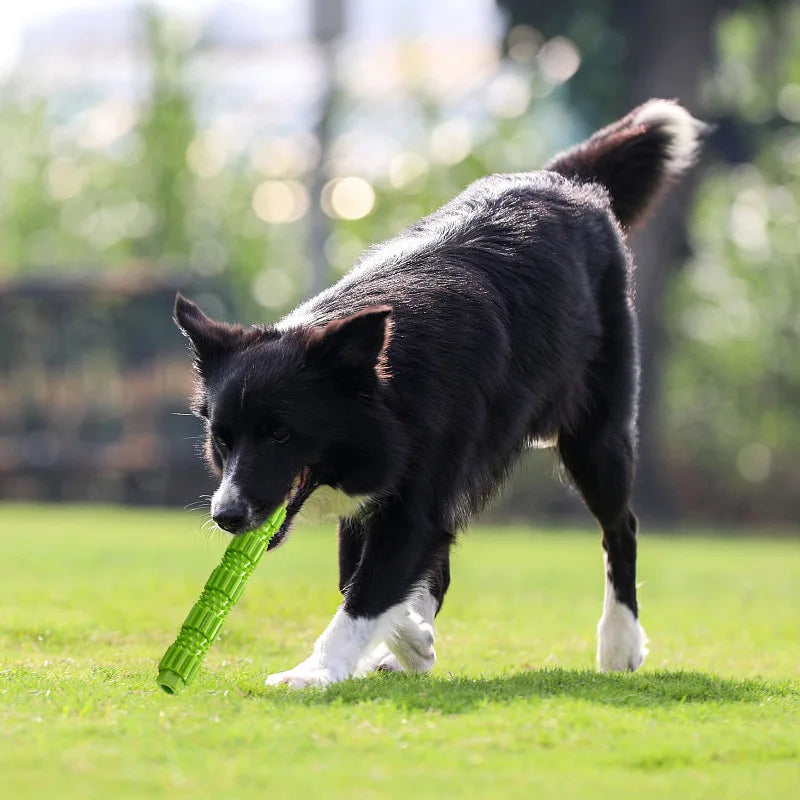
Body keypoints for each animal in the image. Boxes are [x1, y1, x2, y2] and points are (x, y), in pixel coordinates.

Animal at [175, 100, 700, 688]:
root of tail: (566, 181)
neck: (387, 381)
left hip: (597, 433)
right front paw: (410, 641)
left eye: (280, 434)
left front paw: (317, 671)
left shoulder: (419, 492)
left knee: (620, 525)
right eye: (221, 439)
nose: (226, 516)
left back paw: (620, 642)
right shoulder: (376, 494)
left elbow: (370, 589)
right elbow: (370, 578)